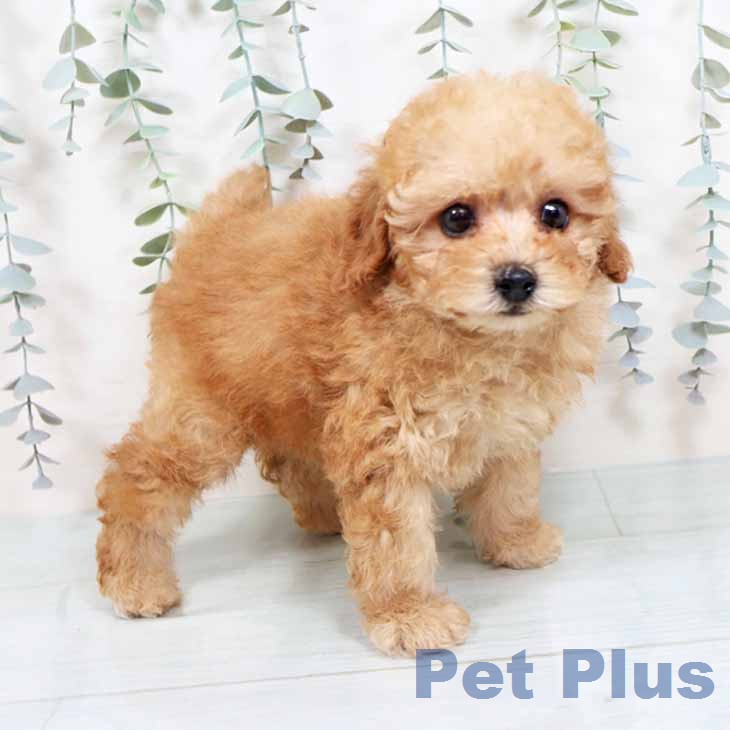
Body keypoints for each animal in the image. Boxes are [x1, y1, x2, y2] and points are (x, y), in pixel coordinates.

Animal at [96, 71, 630, 656]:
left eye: (555, 213)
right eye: (456, 218)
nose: (517, 279)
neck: (470, 336)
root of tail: (209, 239)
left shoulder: (507, 427)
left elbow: (510, 487)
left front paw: (516, 541)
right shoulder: (387, 442)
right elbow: (397, 542)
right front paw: (408, 616)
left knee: (291, 459)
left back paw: (322, 515)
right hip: (201, 415)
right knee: (138, 477)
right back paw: (136, 581)